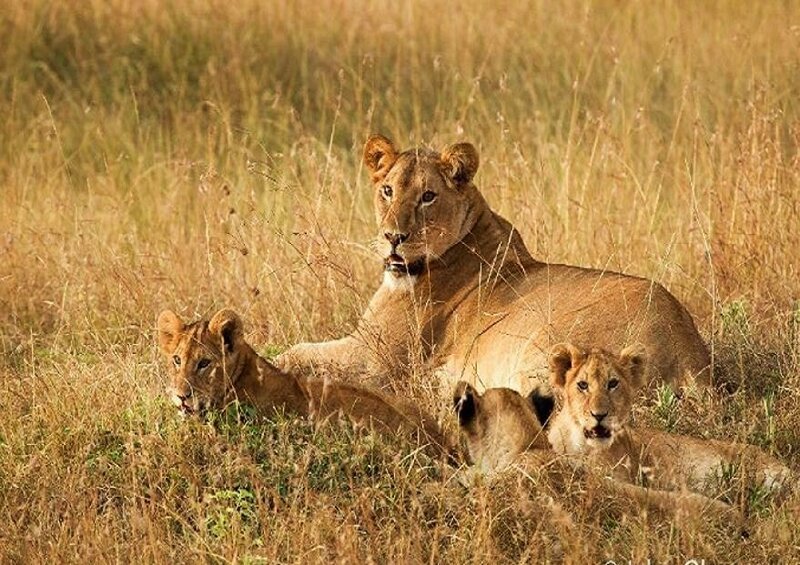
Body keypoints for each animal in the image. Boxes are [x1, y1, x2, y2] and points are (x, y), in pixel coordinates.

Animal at [277, 134, 712, 398]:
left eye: (428, 196)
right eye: (387, 191)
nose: (393, 237)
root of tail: (689, 353)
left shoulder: (373, 358)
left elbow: (296, 352)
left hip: (546, 347)